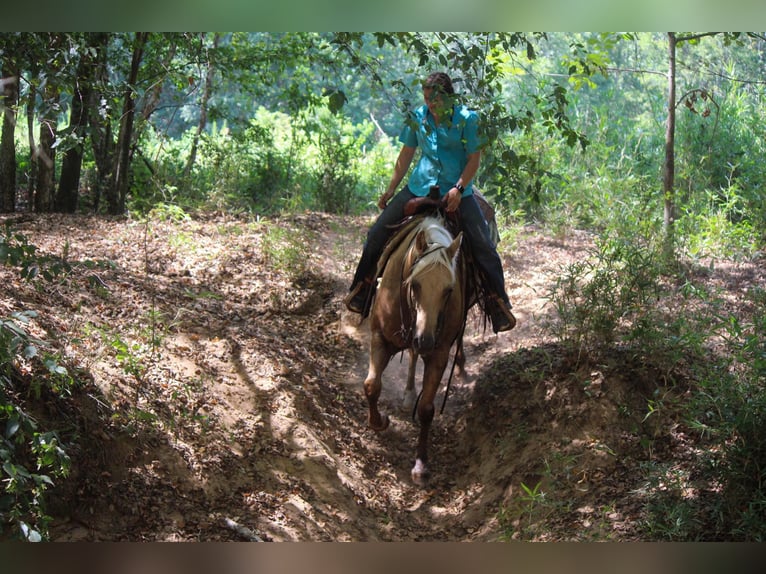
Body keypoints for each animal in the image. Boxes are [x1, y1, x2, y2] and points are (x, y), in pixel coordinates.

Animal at [364, 216, 468, 486]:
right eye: (415, 284)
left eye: (449, 290)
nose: (425, 340)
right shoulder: (379, 337)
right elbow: (372, 386)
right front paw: (379, 422)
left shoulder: (439, 353)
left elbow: (426, 409)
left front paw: (421, 465)